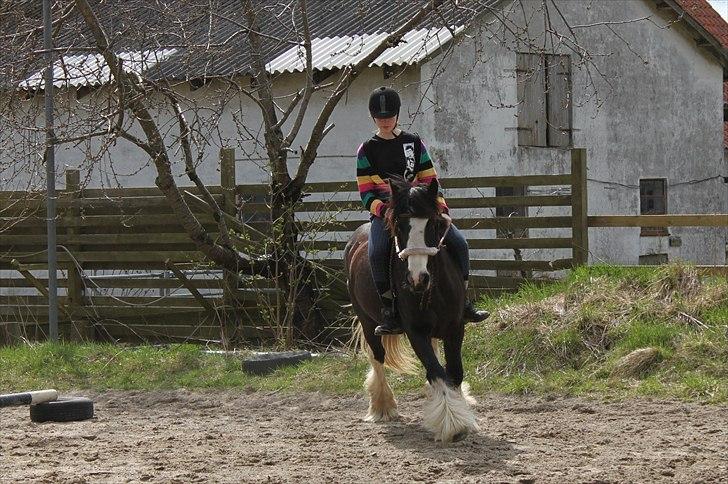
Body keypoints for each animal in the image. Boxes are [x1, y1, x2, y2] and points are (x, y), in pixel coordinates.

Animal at [346, 177, 480, 442]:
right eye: (399, 226)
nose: (418, 278)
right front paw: (453, 423)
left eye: (434, 224)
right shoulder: (415, 332)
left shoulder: (455, 328)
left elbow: (453, 372)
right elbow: (436, 371)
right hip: (367, 321)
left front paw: (461, 409)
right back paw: (382, 407)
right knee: (377, 358)